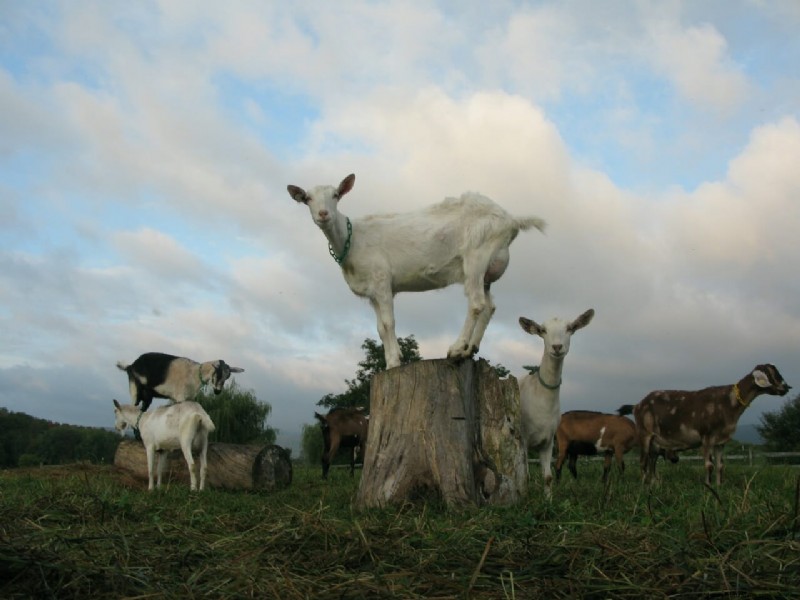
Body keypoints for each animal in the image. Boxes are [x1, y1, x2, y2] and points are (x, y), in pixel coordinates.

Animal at [288, 173, 546, 369]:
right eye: (307, 198)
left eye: (336, 195)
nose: (323, 214)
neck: (353, 240)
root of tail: (511, 220)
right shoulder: (373, 293)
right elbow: (380, 328)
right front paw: (391, 360)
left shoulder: (382, 280)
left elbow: (389, 323)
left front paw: (393, 363)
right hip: (486, 272)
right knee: (489, 306)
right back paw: (470, 349)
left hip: (476, 255)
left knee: (476, 304)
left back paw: (456, 349)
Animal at [518, 308, 595, 498]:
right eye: (542, 330)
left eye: (570, 328)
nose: (557, 347)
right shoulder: (523, 438)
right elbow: (525, 476)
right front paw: (526, 499)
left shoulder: (548, 440)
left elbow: (548, 477)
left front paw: (548, 500)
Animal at [618, 364, 791, 486]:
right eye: (771, 374)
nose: (786, 388)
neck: (728, 403)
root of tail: (637, 406)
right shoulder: (706, 436)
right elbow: (709, 465)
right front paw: (708, 488)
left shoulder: (720, 441)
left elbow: (720, 465)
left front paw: (720, 486)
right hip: (645, 434)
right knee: (643, 461)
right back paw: (644, 485)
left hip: (655, 442)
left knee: (652, 461)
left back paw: (654, 484)